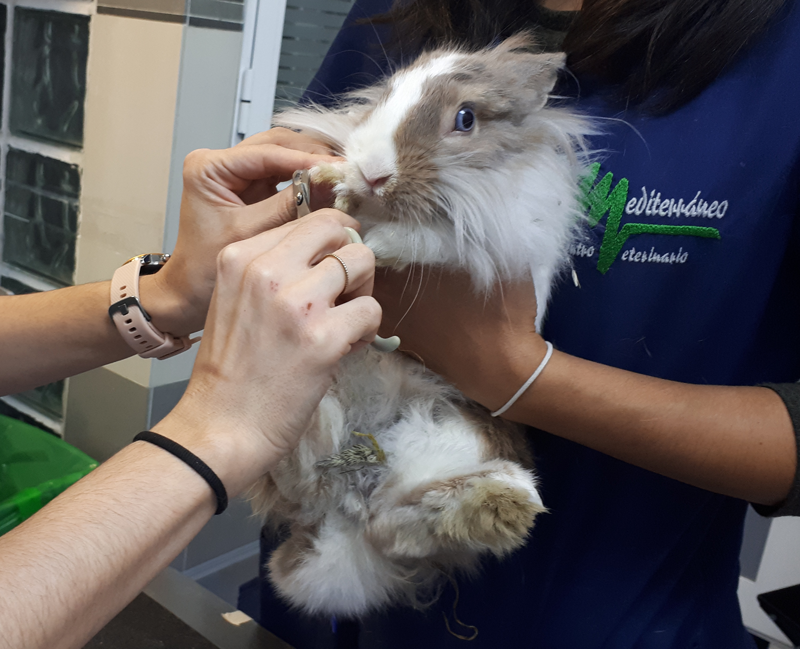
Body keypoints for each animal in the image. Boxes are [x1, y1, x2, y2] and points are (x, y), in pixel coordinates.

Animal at [250, 31, 592, 616]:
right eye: (385, 96)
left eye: (466, 118)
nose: (373, 172)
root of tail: (353, 497)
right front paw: (326, 177)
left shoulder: (486, 238)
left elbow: (420, 240)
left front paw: (370, 241)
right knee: (313, 481)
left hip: (466, 439)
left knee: (402, 527)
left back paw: (496, 503)